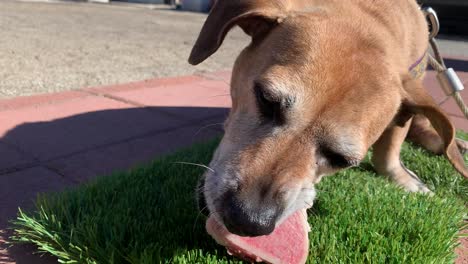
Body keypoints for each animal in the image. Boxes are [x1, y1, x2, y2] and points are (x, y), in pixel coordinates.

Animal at [188, 0, 466, 235]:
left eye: (341, 160)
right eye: (266, 99)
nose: (248, 221)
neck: (373, 14)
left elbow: (390, 149)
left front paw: (401, 177)